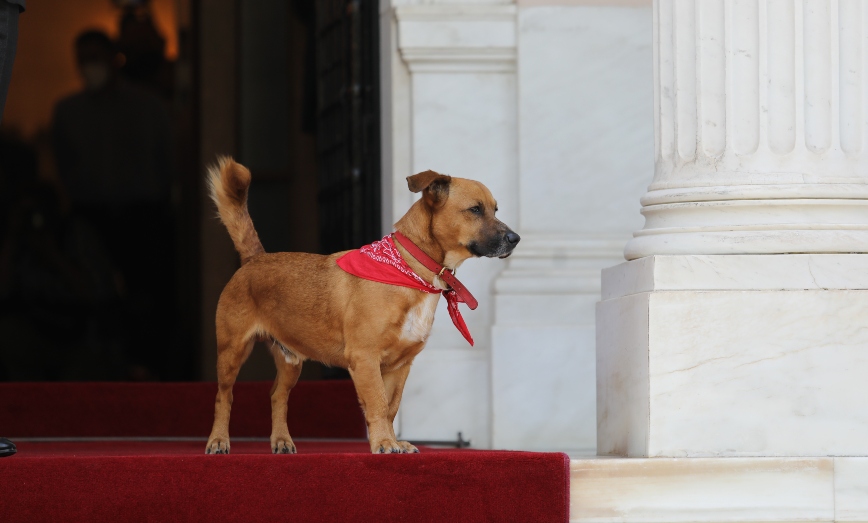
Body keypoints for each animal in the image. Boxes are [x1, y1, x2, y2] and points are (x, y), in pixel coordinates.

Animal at [205, 157, 516, 454]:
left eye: (496, 210)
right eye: (475, 210)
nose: (516, 239)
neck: (411, 269)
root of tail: (255, 258)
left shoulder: (400, 366)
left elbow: (390, 408)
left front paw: (392, 441)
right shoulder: (365, 358)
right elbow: (377, 404)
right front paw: (384, 443)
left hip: (290, 360)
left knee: (277, 397)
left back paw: (281, 440)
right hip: (232, 351)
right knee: (223, 397)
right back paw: (219, 440)